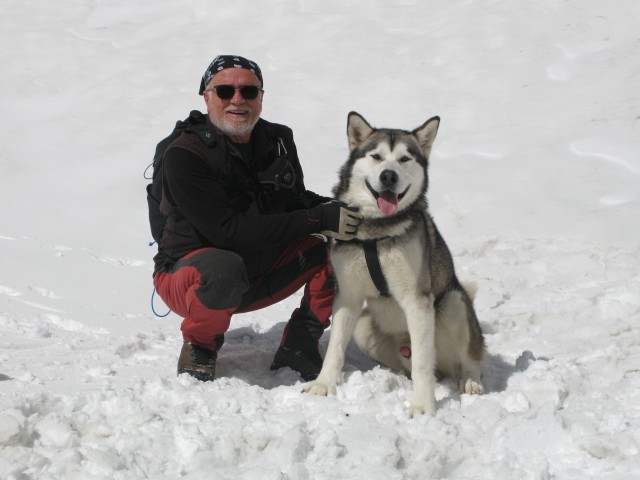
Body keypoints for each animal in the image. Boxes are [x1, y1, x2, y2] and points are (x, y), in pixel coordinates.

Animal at [304, 112, 484, 416]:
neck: (376, 231)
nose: (389, 175)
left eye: (404, 159)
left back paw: (470, 381)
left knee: (467, 359)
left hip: (453, 304)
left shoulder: (417, 300)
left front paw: (423, 406)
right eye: (376, 156)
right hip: (365, 327)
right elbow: (335, 347)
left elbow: (423, 363)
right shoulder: (348, 296)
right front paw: (323, 384)